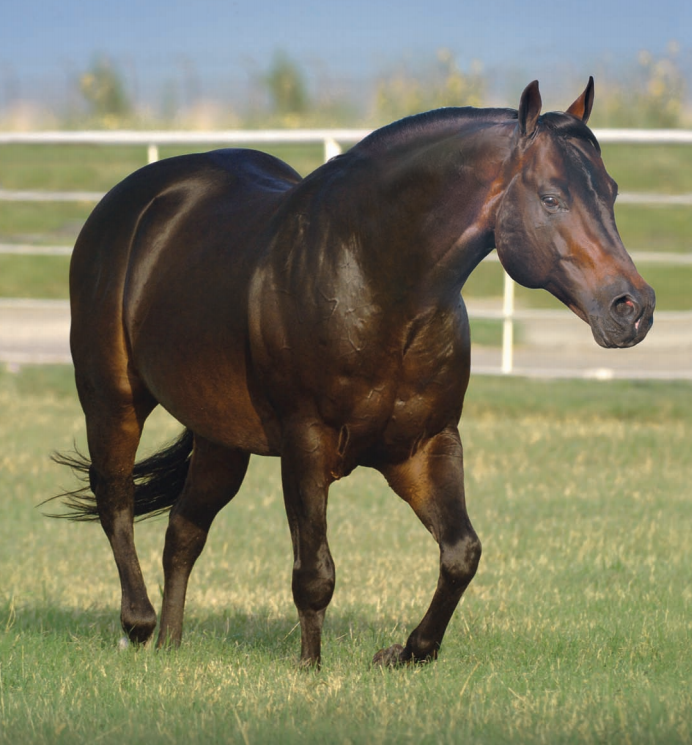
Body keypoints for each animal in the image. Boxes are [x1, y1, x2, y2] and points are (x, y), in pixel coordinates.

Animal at [52, 80, 656, 668]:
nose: (633, 308)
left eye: (612, 191)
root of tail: (132, 204)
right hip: (112, 400)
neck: (373, 279)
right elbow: (314, 573)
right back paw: (138, 626)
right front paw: (310, 669)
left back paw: (171, 646)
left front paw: (404, 653)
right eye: (551, 198)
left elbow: (461, 553)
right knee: (116, 502)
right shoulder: (307, 443)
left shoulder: (424, 446)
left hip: (221, 438)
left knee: (184, 528)